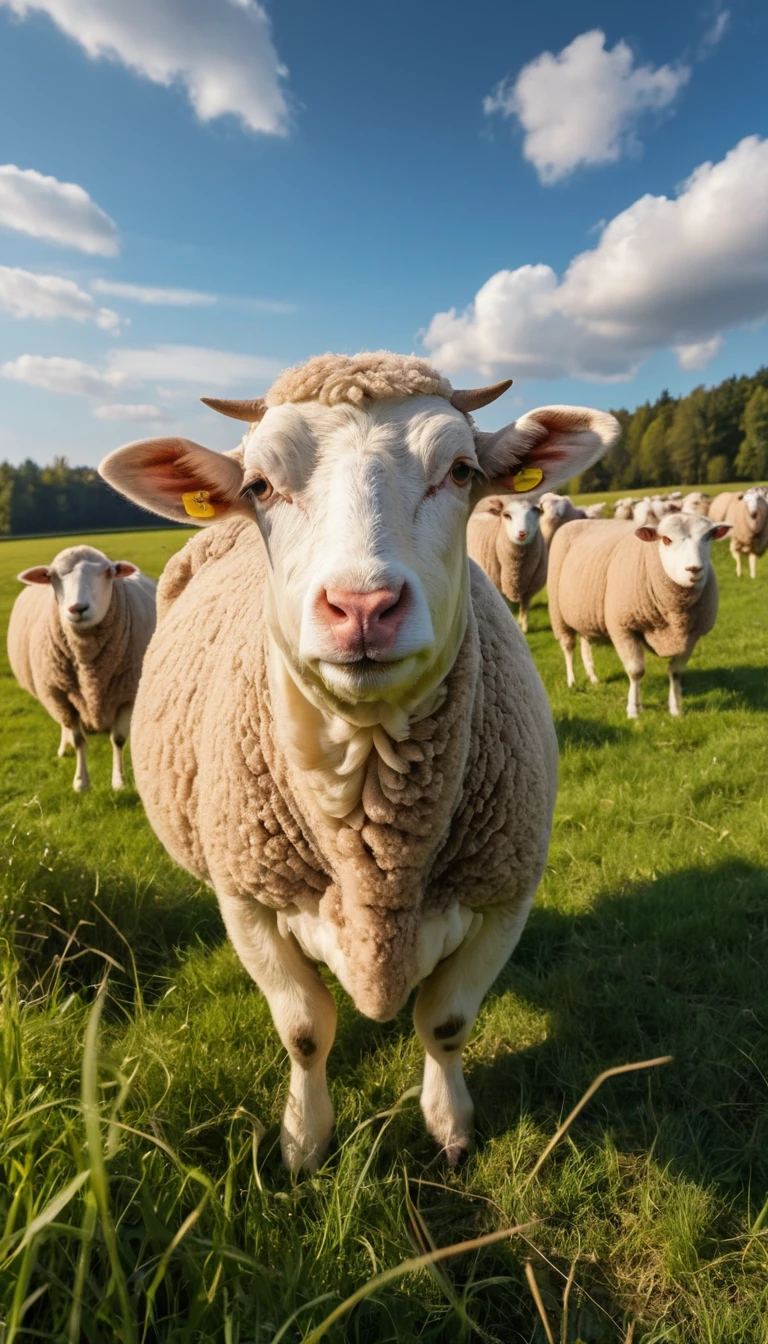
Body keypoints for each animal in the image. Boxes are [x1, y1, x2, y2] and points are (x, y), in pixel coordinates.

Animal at [7, 545, 156, 791]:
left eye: (109, 572)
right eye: (50, 576)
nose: (77, 608)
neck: (89, 667)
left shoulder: (128, 696)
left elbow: (118, 739)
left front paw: (119, 780)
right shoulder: (59, 695)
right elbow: (78, 740)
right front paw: (80, 781)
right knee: (65, 727)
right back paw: (63, 747)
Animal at [466, 495, 547, 632]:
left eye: (536, 512)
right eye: (507, 515)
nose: (522, 533)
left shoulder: (529, 591)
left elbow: (524, 608)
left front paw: (524, 627)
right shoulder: (498, 588)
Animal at [548, 513, 731, 719]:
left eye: (708, 536)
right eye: (666, 539)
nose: (694, 569)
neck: (675, 615)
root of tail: (583, 520)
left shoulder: (693, 634)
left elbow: (675, 672)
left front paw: (675, 709)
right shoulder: (623, 628)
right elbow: (636, 671)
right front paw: (633, 710)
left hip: (583, 612)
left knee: (585, 641)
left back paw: (593, 677)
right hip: (557, 612)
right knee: (568, 646)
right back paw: (572, 681)